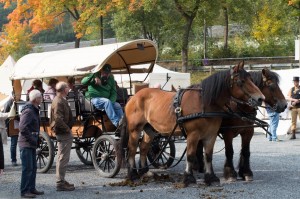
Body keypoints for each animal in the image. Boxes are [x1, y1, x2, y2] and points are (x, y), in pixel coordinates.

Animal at [118, 61, 264, 186]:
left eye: (251, 79)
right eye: (241, 81)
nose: (260, 98)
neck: (204, 103)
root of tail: (134, 97)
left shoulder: (211, 135)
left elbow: (208, 156)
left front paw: (211, 177)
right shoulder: (193, 135)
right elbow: (190, 155)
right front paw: (188, 177)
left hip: (150, 130)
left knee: (143, 147)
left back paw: (144, 172)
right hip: (134, 129)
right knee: (132, 149)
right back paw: (133, 175)